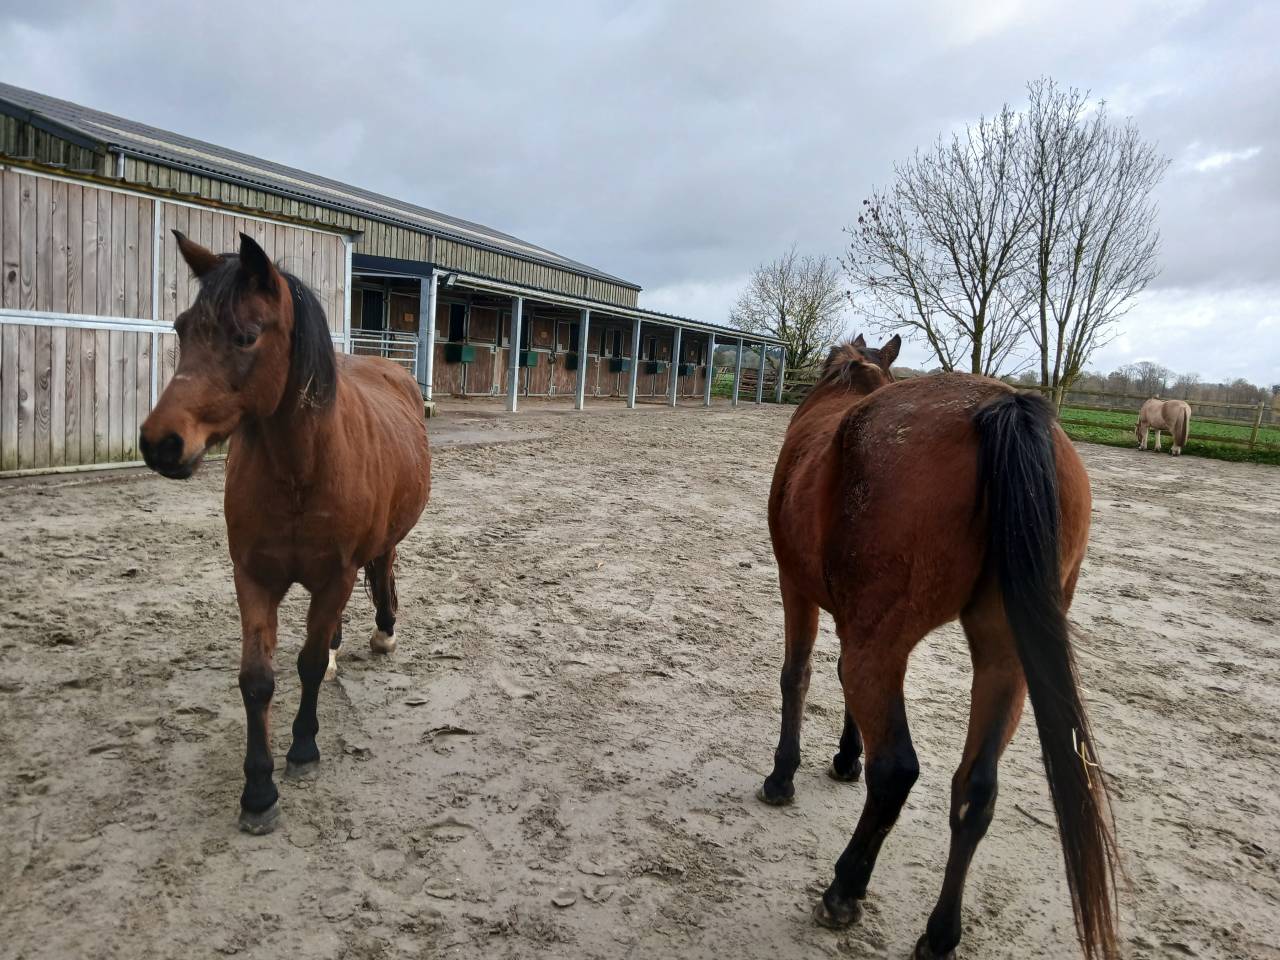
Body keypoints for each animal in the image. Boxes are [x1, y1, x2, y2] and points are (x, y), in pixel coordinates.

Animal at [139, 231, 431, 835]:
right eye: (182, 328)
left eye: (246, 336)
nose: (161, 443)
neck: (301, 469)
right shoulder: (254, 578)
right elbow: (258, 679)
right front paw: (257, 790)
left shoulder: (336, 573)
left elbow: (309, 664)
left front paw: (302, 749)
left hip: (376, 550)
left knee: (382, 573)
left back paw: (384, 632)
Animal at [759, 335, 1118, 959]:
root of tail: (1001, 407)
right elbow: (837, 679)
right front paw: (845, 758)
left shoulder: (798, 589)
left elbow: (797, 675)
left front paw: (784, 776)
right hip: (1002, 662)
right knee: (976, 790)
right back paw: (940, 933)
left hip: (881, 643)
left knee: (897, 770)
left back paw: (844, 889)